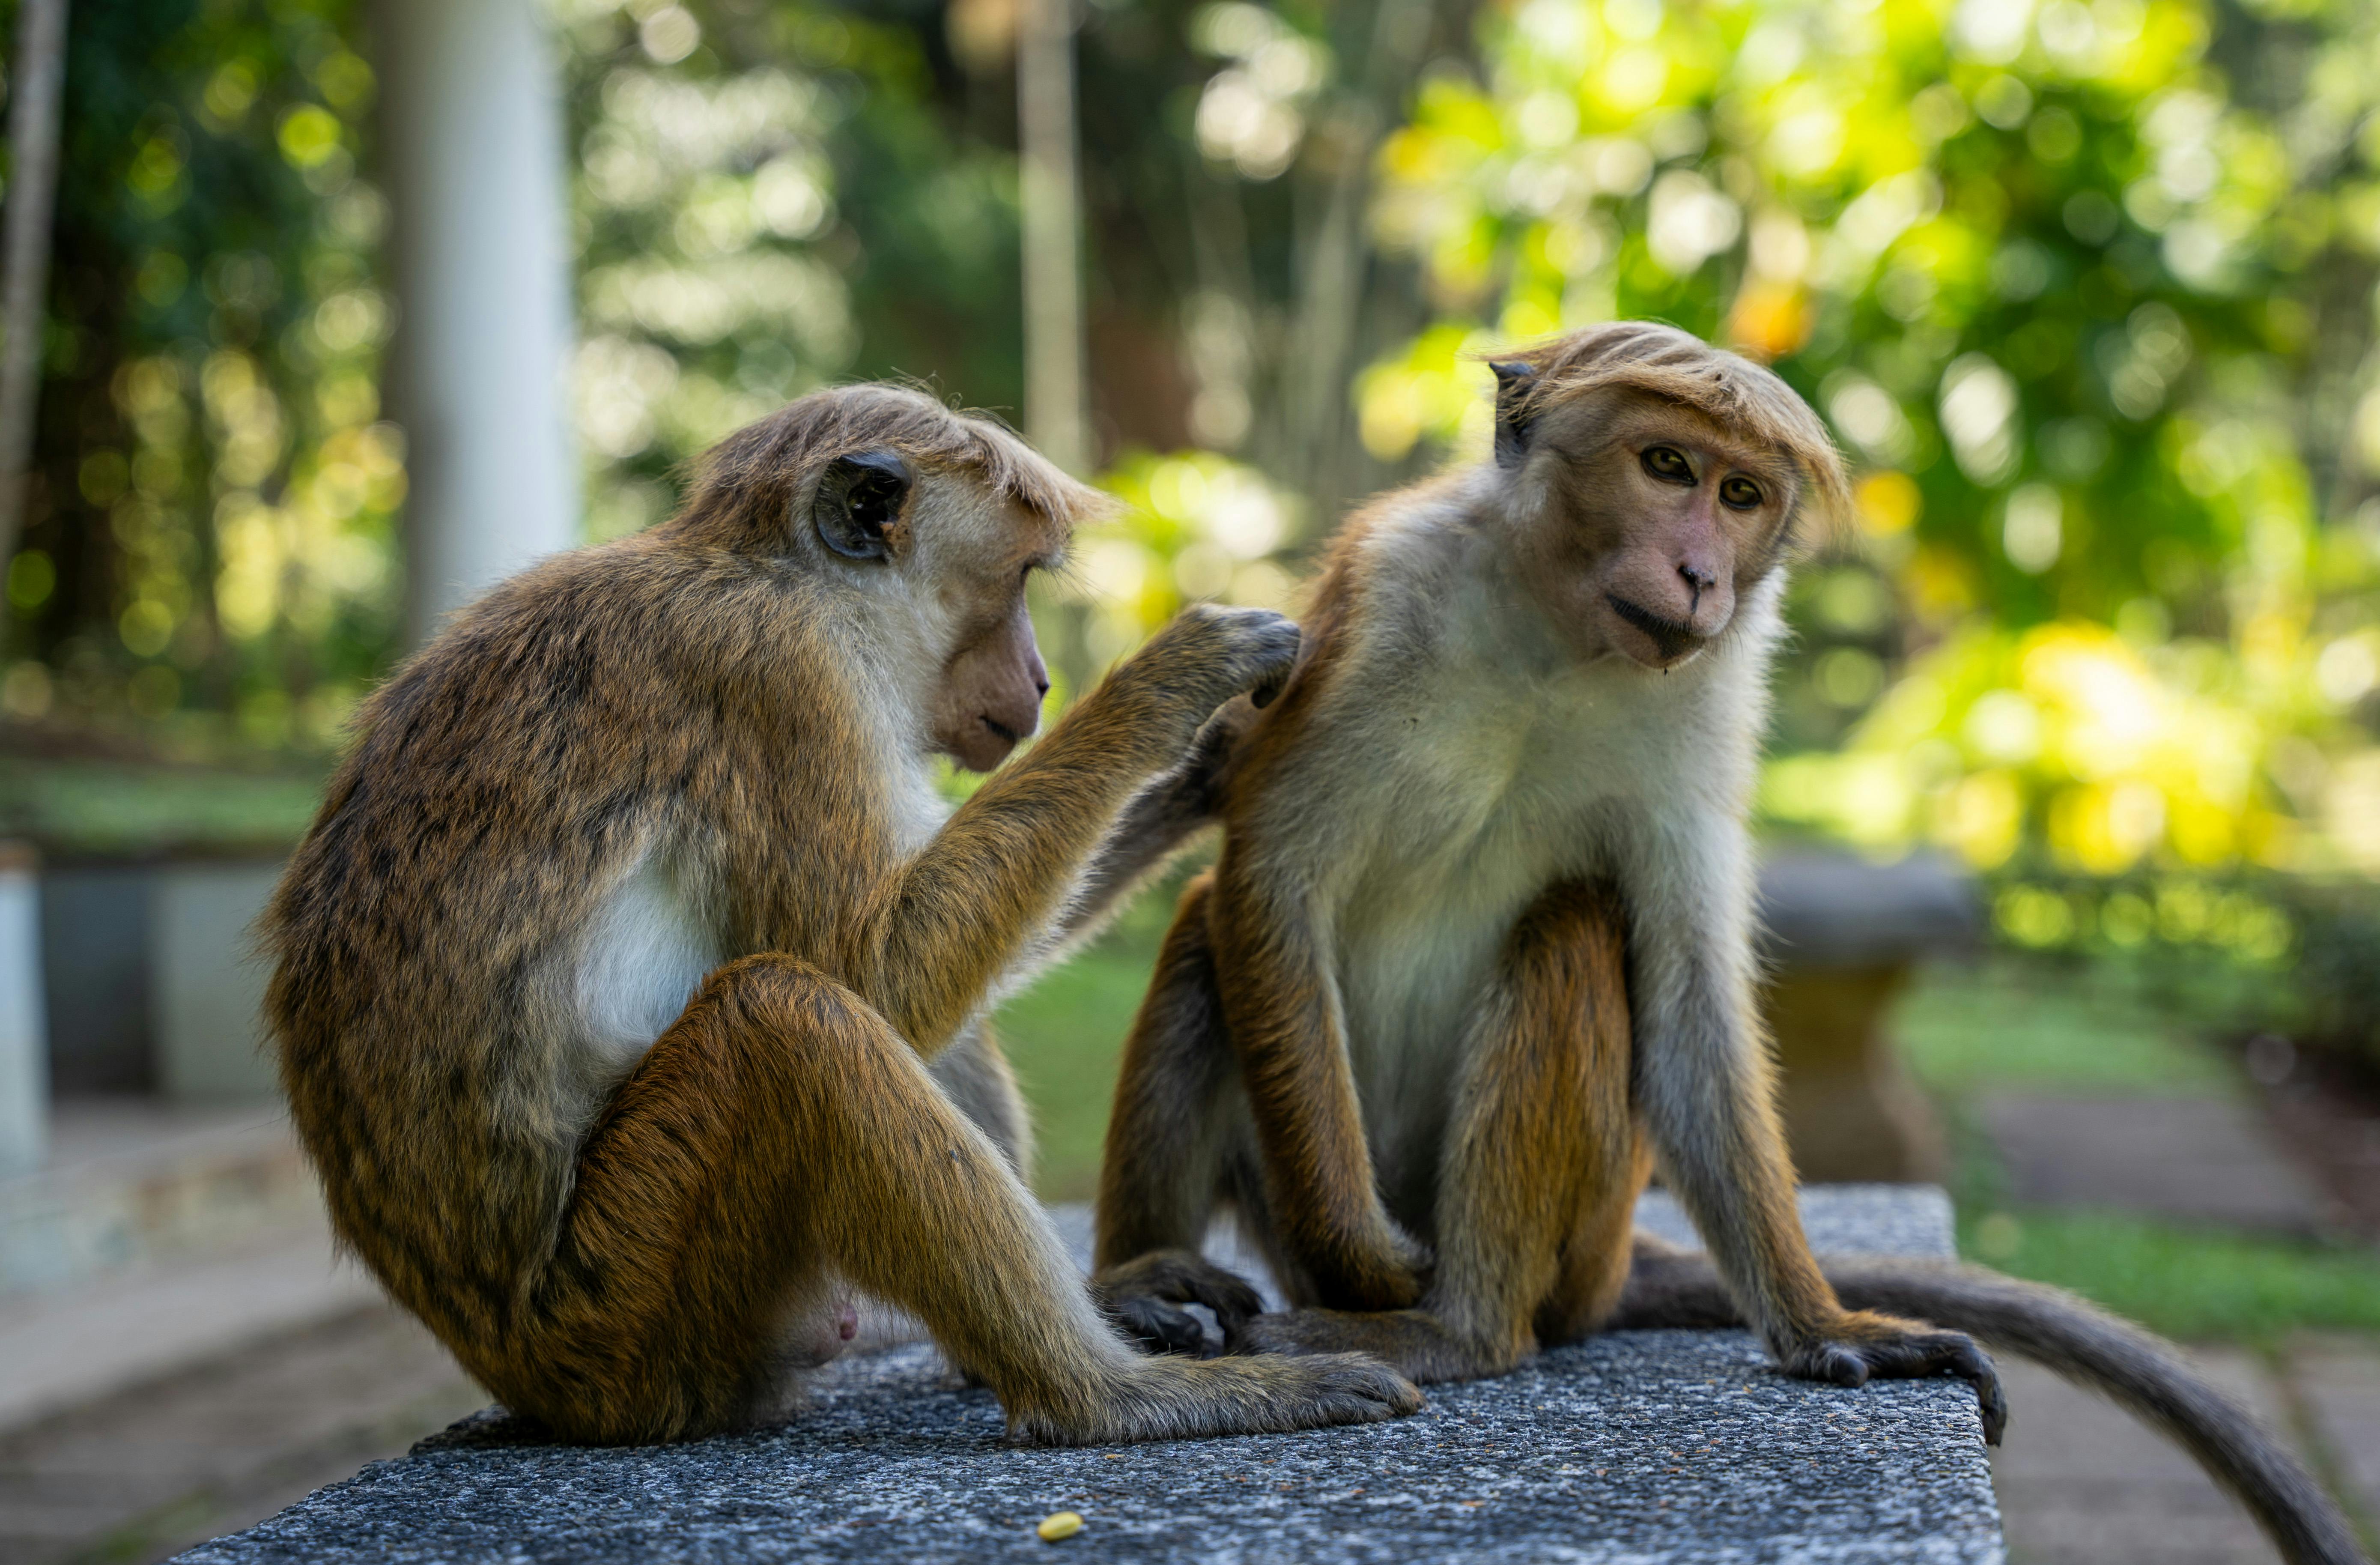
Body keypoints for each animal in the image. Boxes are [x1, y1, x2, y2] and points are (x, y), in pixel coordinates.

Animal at [259, 383, 1423, 1449]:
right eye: (1016, 581)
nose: (1046, 680)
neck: (776, 577)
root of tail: (531, 1382)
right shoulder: (782, 677)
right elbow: (873, 967)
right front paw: (1168, 684)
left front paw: (1212, 759)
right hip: (633, 1308)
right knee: (789, 1019)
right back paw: (1102, 1397)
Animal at [1089, 323, 2367, 1565]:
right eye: (1667, 467)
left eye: (1741, 493)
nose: (1701, 572)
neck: (1553, 636)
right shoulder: (1376, 593)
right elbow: (1271, 881)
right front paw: (1358, 1252)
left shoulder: (1713, 694)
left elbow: (1687, 992)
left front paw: (1828, 1329)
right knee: (1207, 933)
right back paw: (1151, 1286)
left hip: (1583, 1244)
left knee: (1569, 933)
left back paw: (1461, 1330)